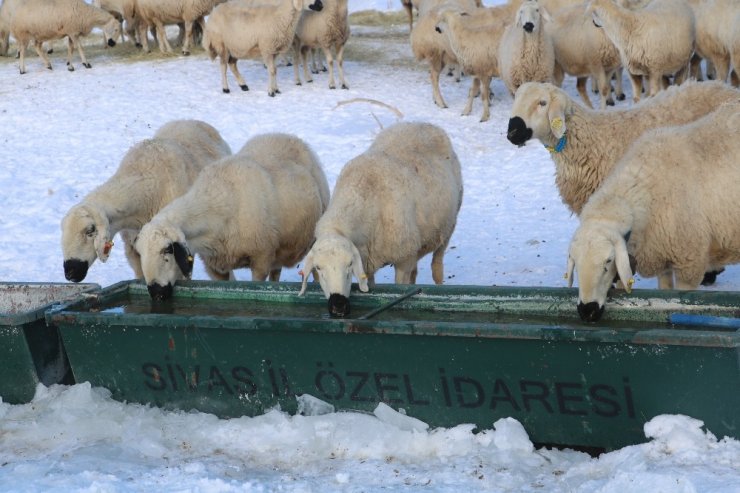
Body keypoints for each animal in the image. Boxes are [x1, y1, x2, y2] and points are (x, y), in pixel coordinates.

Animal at [134, 132, 330, 300]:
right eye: (140, 253)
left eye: (167, 251)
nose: (156, 293)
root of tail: (287, 135)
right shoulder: (215, 267)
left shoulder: (261, 258)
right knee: (276, 273)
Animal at [296, 121, 462, 318]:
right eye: (318, 268)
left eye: (349, 264)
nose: (338, 306)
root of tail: (422, 123)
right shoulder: (368, 262)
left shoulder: (404, 259)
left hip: (448, 227)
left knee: (437, 266)